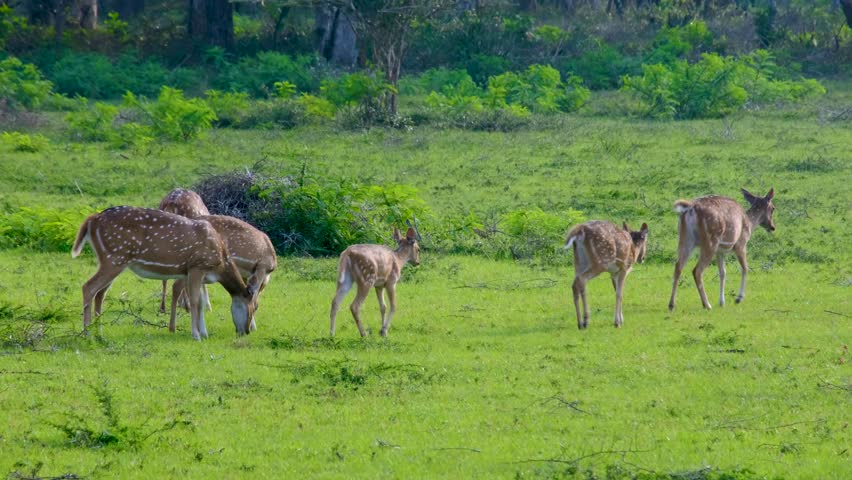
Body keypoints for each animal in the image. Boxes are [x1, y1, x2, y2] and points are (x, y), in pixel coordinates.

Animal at [71, 206, 257, 340]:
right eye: (252, 308)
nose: (246, 331)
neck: (220, 263)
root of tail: (92, 220)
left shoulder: (190, 273)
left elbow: (200, 303)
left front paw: (204, 333)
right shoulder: (196, 266)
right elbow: (195, 301)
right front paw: (196, 335)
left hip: (110, 260)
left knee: (100, 294)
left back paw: (99, 333)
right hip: (114, 258)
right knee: (88, 287)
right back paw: (87, 334)